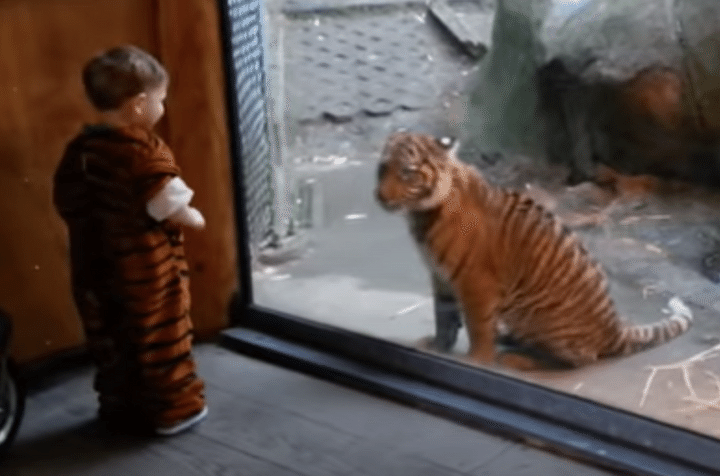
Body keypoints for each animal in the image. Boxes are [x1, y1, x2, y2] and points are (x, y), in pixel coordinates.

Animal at [375, 131, 693, 369]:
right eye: (383, 167)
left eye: (407, 173)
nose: (380, 197)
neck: (421, 213)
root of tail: (613, 328)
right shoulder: (440, 276)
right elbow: (443, 316)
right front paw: (438, 346)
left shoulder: (476, 283)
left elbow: (477, 326)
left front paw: (476, 360)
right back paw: (507, 339)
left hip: (537, 315)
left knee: (576, 361)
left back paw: (516, 358)